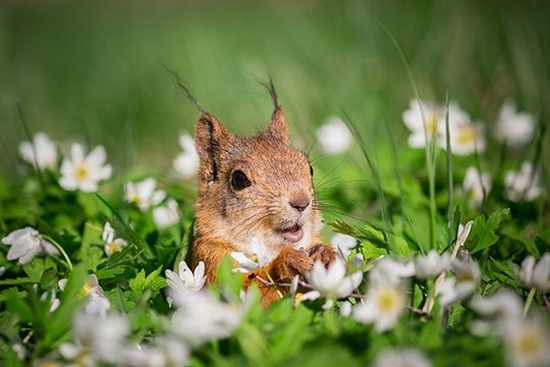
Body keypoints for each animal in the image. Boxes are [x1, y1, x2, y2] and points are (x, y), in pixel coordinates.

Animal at [190, 82, 338, 308]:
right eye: (239, 179)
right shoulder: (211, 259)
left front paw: (328, 255)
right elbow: (250, 294)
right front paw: (288, 262)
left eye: (310, 168)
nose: (301, 202)